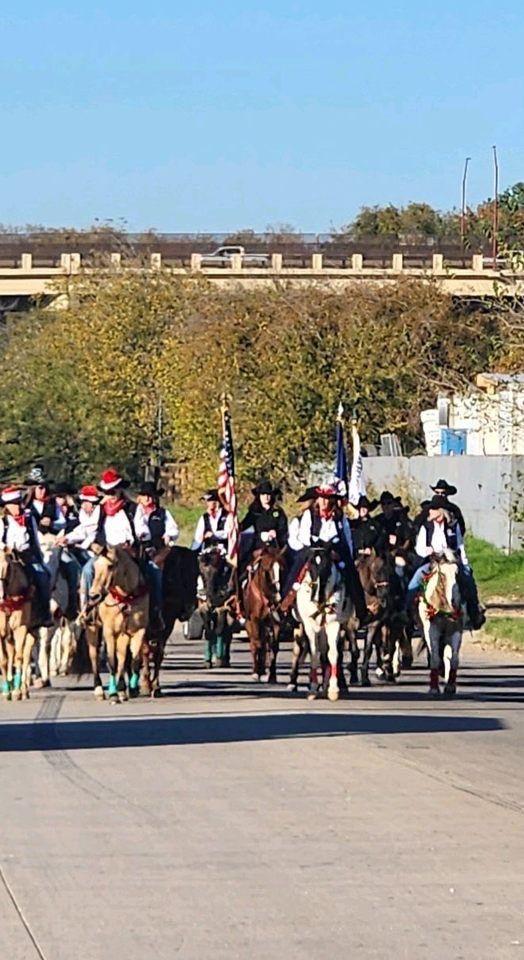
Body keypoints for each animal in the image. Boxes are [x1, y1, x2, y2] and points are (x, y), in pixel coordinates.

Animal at [73, 552, 149, 700]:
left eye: (110, 566)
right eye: (96, 566)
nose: (94, 595)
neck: (126, 597)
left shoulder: (138, 631)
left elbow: (134, 660)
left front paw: (131, 688)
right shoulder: (109, 631)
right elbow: (112, 661)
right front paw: (113, 693)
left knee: (123, 658)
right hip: (93, 629)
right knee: (94, 656)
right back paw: (99, 689)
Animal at [243, 548, 284, 684]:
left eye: (281, 569)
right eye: (267, 570)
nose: (278, 596)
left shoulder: (276, 623)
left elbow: (274, 647)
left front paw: (272, 675)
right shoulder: (255, 620)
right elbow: (258, 644)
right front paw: (257, 672)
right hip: (249, 624)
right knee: (254, 644)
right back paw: (257, 670)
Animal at [294, 544, 352, 700]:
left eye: (327, 566)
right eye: (310, 566)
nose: (318, 597)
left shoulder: (334, 625)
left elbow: (332, 655)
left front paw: (333, 689)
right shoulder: (309, 626)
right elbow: (314, 655)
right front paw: (313, 689)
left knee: (327, 655)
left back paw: (327, 686)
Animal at [416, 552, 464, 692]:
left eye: (457, 573)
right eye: (442, 575)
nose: (454, 600)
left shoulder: (456, 631)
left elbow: (454, 659)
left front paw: (450, 686)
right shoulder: (432, 632)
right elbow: (435, 658)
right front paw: (434, 687)